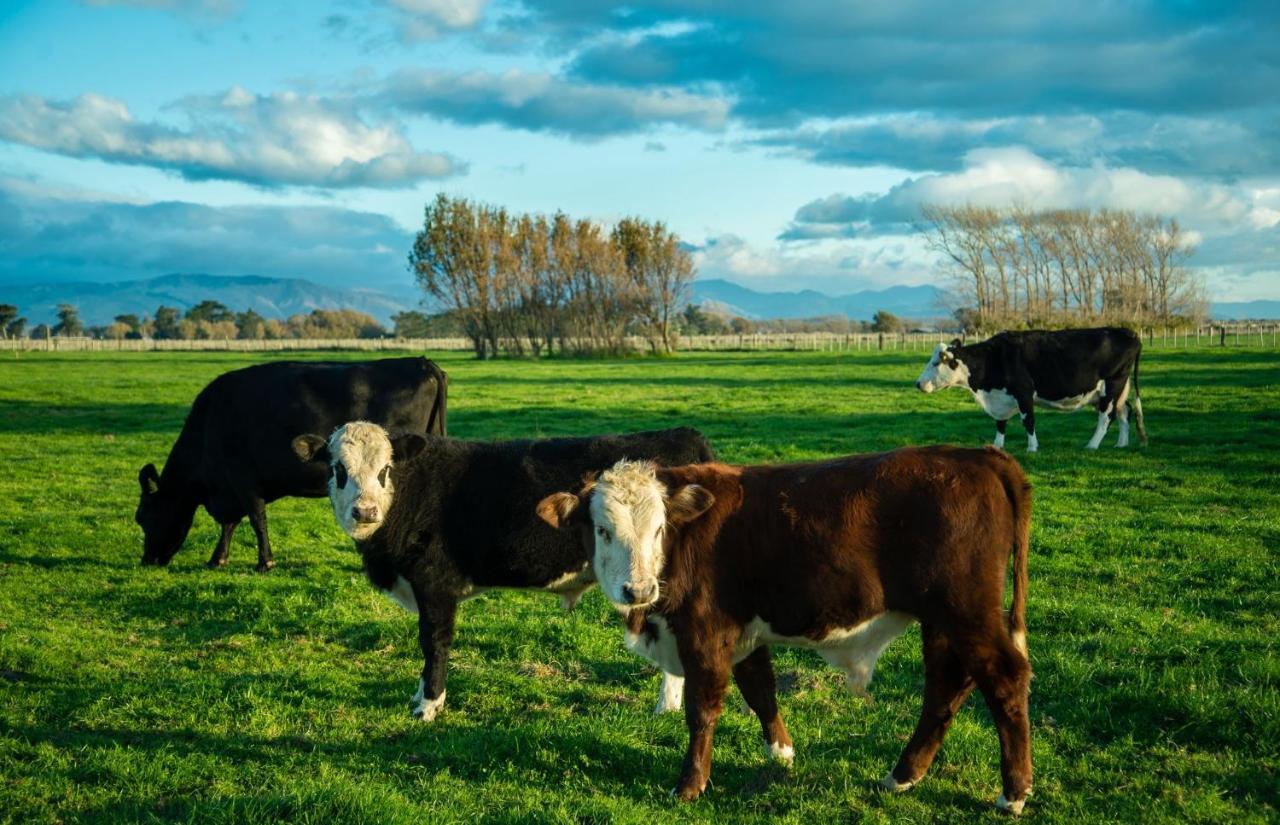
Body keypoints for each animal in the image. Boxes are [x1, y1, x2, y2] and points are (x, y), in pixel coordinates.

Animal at [137, 358, 448, 570]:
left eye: (142, 517)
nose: (147, 560)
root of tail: (421, 362)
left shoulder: (243, 481)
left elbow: (255, 520)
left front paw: (264, 562)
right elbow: (231, 523)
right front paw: (218, 559)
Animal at [290, 424, 716, 721]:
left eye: (385, 469)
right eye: (338, 469)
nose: (364, 511)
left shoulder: (434, 585)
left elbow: (434, 643)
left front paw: (427, 705)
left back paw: (666, 705)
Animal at [537, 445, 1029, 808]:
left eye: (658, 529)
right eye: (602, 530)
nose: (636, 589)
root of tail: (977, 457)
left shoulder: (705, 635)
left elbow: (702, 711)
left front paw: (690, 784)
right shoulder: (743, 634)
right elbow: (761, 691)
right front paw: (782, 753)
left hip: (967, 612)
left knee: (1004, 679)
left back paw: (1013, 793)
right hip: (943, 621)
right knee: (946, 687)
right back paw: (903, 775)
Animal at [916, 324, 1146, 450]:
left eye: (935, 363)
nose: (917, 383)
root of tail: (1130, 333)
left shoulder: (1024, 392)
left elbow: (1028, 421)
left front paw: (1032, 447)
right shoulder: (1001, 399)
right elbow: (1000, 424)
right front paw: (997, 446)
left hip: (1112, 385)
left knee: (1107, 417)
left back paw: (1092, 445)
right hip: (1116, 390)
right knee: (1124, 411)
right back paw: (1121, 443)